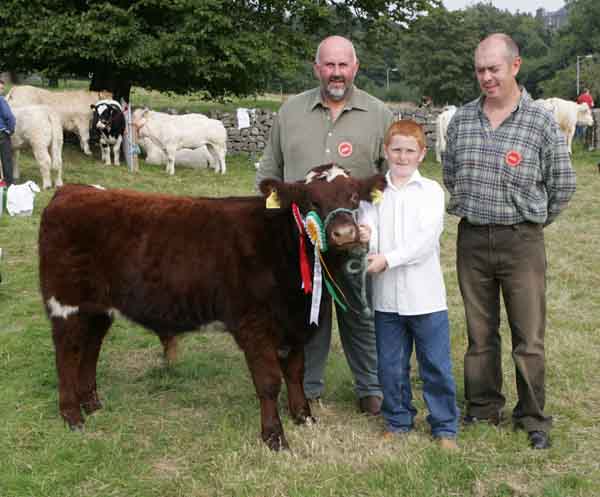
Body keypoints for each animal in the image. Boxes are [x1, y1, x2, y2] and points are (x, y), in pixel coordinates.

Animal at [38, 164, 384, 450]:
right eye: (311, 200)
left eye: (353, 195)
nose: (344, 234)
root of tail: (73, 190)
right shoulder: (254, 326)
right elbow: (269, 382)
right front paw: (274, 436)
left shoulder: (294, 324)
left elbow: (295, 373)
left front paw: (304, 417)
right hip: (65, 303)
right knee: (66, 354)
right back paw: (72, 415)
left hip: (97, 308)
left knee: (90, 349)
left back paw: (92, 404)